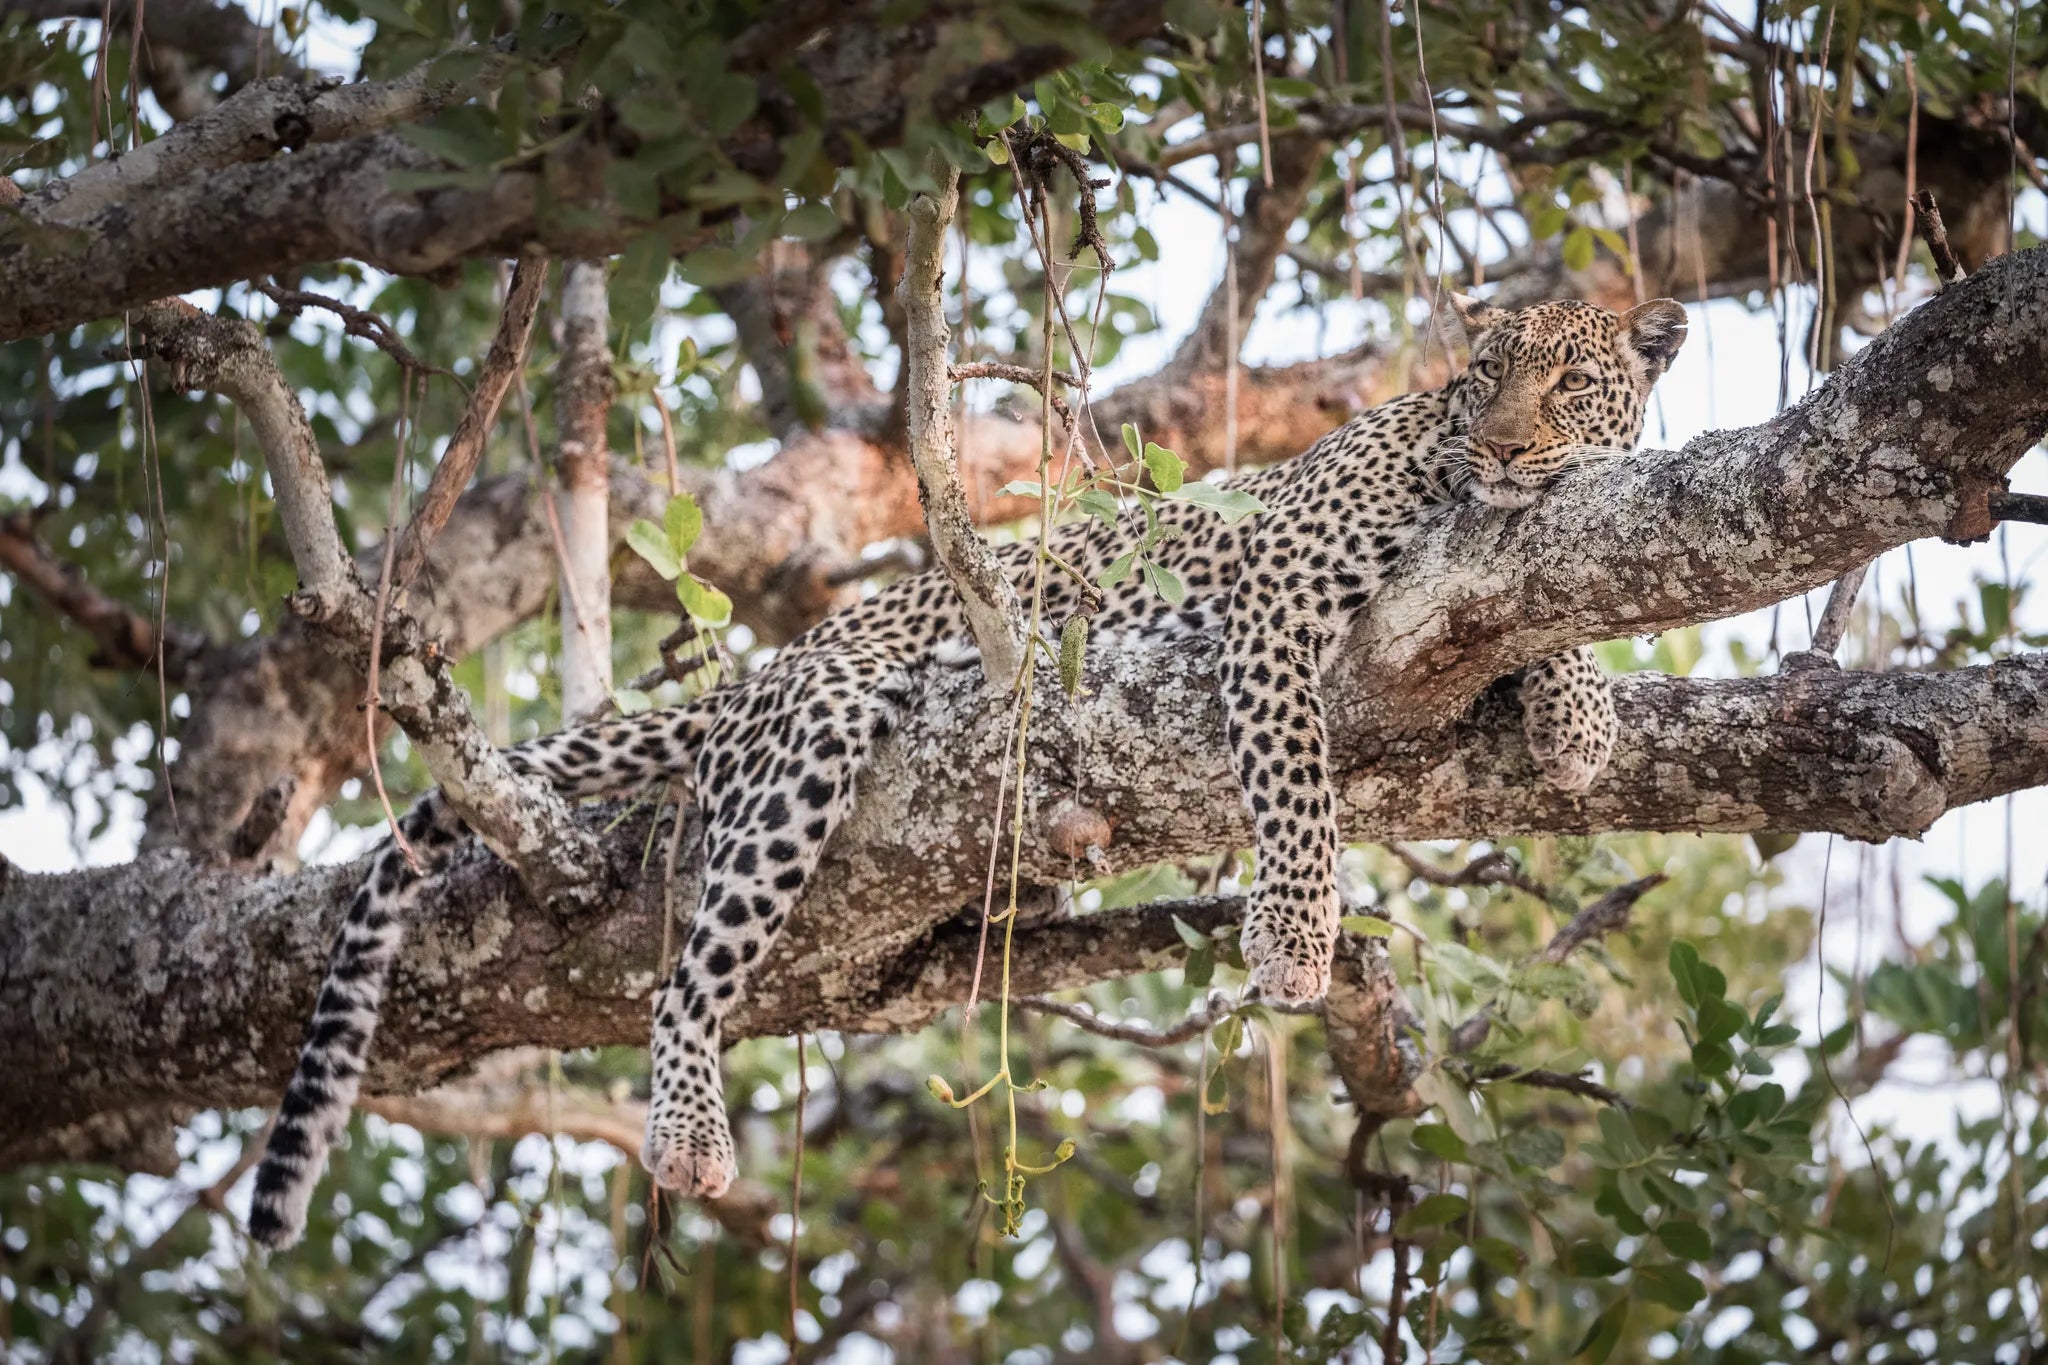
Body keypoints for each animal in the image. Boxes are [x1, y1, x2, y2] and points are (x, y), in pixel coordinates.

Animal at [247, 292, 1688, 1250]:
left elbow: (1549, 619)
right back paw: (691, 1133)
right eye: (1485, 374)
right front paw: (1292, 938)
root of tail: (781, 657)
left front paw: (1575, 719)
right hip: (811, 741)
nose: (1500, 447)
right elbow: (1293, 779)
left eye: (1568, 383)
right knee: (684, 978)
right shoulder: (1277, 591)